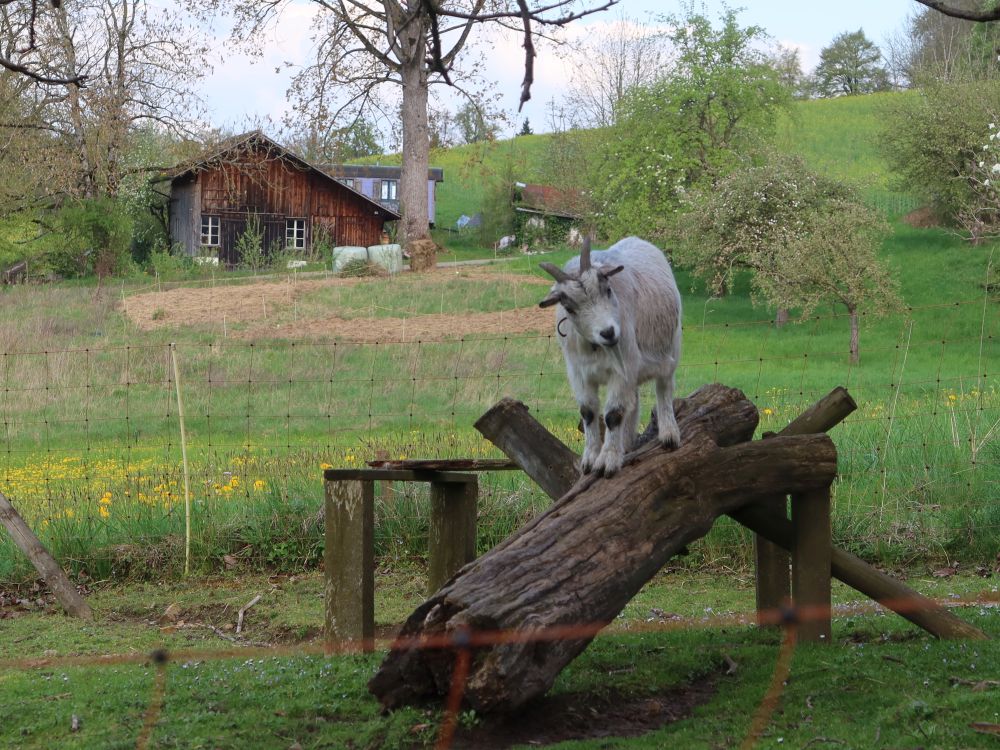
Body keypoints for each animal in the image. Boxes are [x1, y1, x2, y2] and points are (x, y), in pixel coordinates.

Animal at [539, 236, 682, 477]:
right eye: (569, 307)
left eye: (607, 289)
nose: (608, 332)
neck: (596, 347)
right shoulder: (578, 373)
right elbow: (588, 412)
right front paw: (589, 461)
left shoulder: (622, 369)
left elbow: (613, 414)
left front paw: (607, 462)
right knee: (633, 402)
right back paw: (627, 442)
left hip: (671, 348)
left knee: (664, 388)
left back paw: (669, 435)